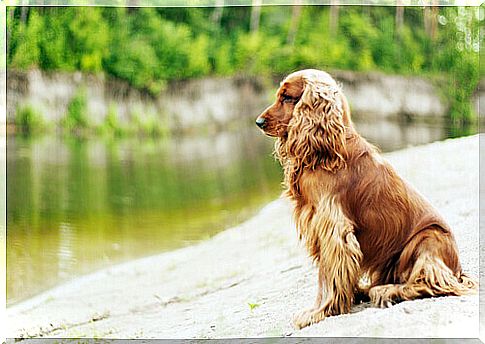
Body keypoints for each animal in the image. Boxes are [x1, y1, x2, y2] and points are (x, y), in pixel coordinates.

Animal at [255, 68, 474, 330]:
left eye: (287, 97)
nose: (258, 122)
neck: (328, 150)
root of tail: (458, 269)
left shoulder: (333, 227)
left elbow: (326, 276)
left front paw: (318, 311)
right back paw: (367, 289)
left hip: (427, 239)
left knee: (431, 282)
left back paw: (386, 291)